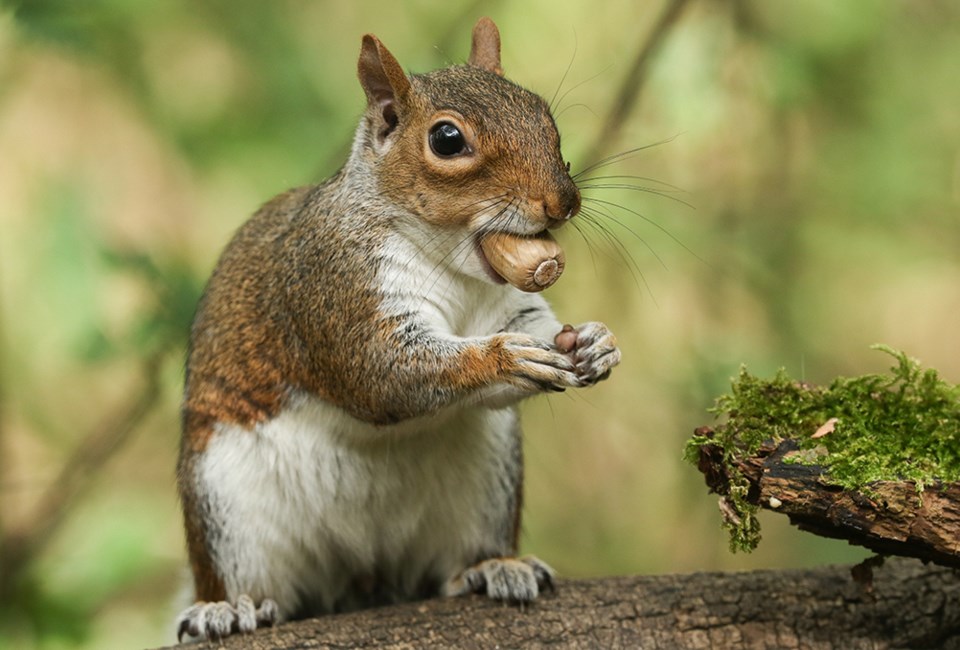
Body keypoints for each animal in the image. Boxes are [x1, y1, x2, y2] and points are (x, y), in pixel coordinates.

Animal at [175, 17, 620, 640]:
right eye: (447, 140)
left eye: (541, 111)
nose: (564, 201)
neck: (453, 264)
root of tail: (362, 573)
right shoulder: (335, 285)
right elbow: (383, 374)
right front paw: (505, 358)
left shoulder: (515, 307)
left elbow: (538, 328)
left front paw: (596, 344)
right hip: (228, 508)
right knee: (244, 579)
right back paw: (230, 606)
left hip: (486, 486)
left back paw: (492, 567)